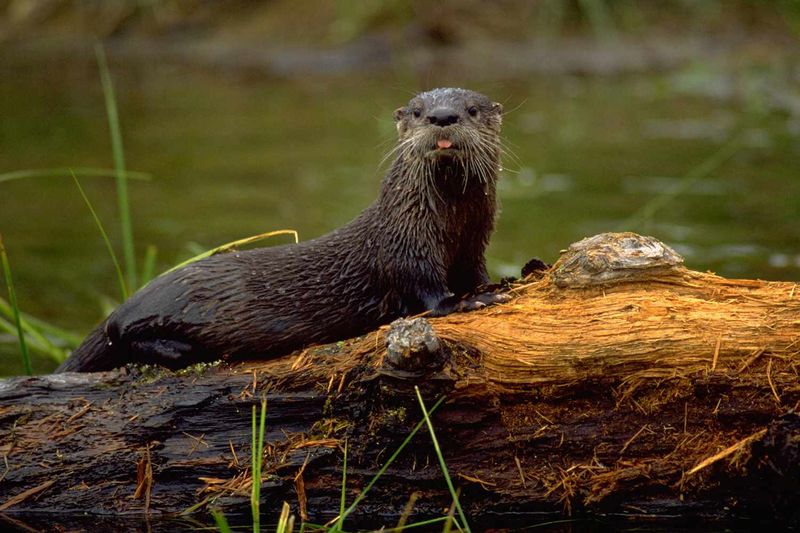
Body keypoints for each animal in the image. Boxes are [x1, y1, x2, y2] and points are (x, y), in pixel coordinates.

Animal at [57, 87, 506, 373]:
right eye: (417, 112)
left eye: (471, 109)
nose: (441, 117)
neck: (447, 222)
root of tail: (127, 301)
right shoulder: (405, 245)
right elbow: (428, 292)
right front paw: (468, 301)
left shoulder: (475, 241)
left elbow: (474, 270)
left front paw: (492, 286)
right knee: (119, 332)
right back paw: (176, 348)